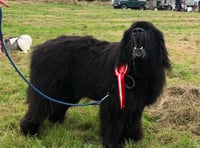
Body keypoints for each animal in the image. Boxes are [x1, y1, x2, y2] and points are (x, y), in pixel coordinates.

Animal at [19, 20, 170, 147]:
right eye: (133, 29)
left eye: (148, 30)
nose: (137, 31)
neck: (136, 71)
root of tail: (39, 49)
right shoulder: (113, 102)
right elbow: (112, 123)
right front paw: (112, 143)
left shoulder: (136, 103)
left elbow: (134, 121)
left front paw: (131, 139)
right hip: (48, 88)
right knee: (38, 108)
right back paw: (29, 132)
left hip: (66, 92)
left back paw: (57, 123)